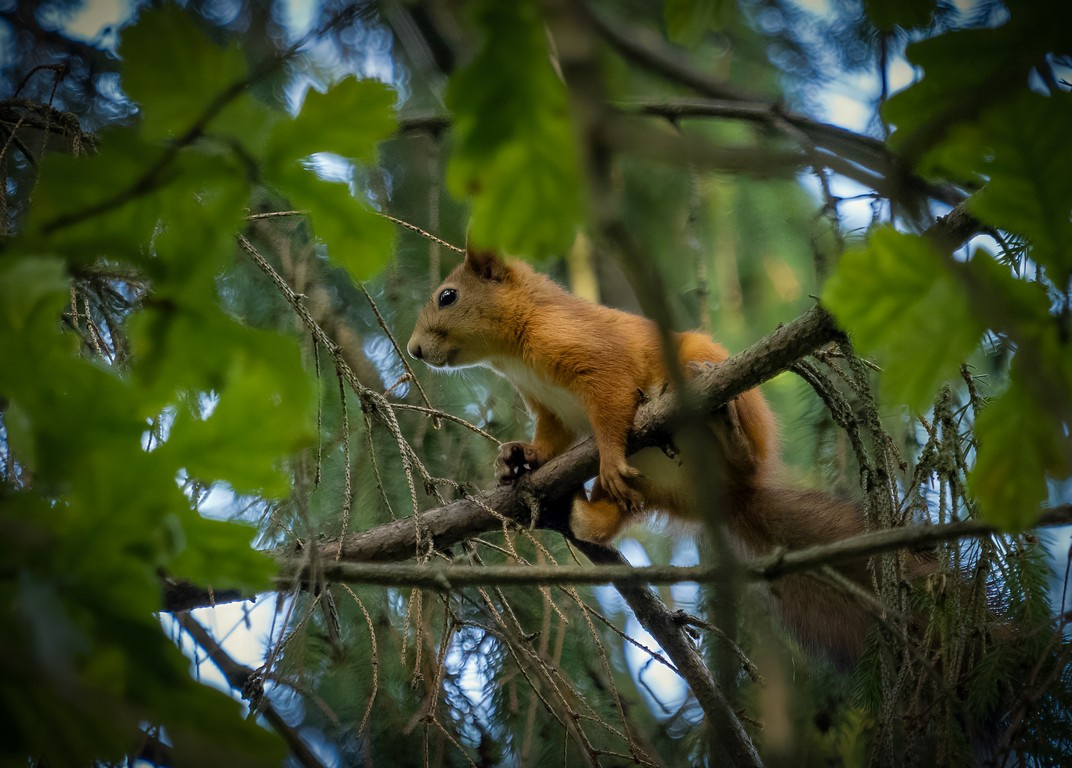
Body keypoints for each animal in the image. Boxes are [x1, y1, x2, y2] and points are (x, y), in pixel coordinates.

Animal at [408, 245, 885, 667]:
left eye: (447, 296)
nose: (413, 350)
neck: (513, 352)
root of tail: (732, 496)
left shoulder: (596, 357)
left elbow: (611, 400)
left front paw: (607, 452)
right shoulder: (549, 409)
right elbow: (550, 440)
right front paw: (515, 456)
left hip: (715, 377)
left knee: (744, 453)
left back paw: (729, 431)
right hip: (652, 486)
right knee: (610, 518)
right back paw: (582, 511)